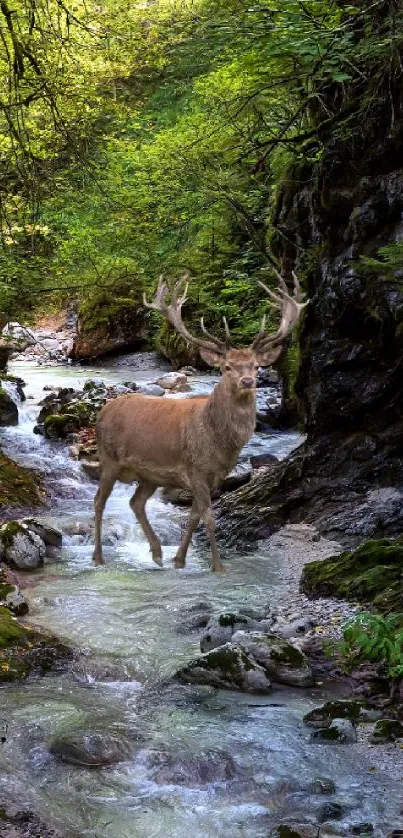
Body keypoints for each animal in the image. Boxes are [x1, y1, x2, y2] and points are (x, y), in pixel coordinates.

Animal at [92, 272, 306, 576]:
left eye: (256, 366)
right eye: (226, 367)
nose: (247, 381)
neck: (218, 439)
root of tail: (103, 410)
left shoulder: (214, 476)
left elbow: (194, 515)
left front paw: (179, 561)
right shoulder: (195, 469)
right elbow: (208, 517)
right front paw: (218, 567)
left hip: (149, 475)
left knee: (136, 502)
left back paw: (157, 553)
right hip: (108, 458)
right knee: (99, 501)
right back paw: (98, 557)